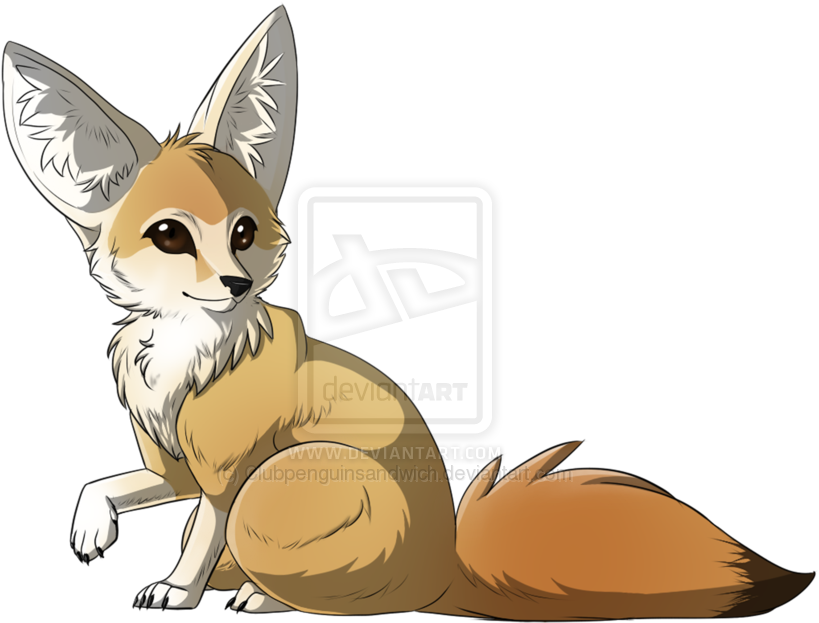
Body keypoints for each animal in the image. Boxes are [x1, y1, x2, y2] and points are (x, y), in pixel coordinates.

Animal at [4, 5, 813, 618]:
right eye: (170, 235)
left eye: (242, 232)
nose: (234, 284)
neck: (185, 352)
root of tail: (444, 572)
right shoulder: (173, 467)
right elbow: (107, 485)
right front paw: (92, 528)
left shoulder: (227, 476)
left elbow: (200, 536)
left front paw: (177, 589)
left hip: (281, 477)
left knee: (330, 596)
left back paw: (267, 600)